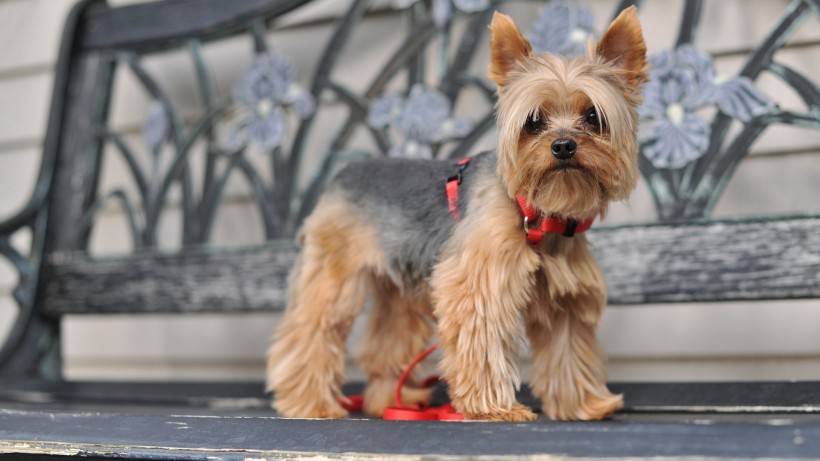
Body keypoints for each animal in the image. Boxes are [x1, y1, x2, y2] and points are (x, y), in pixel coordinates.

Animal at [268, 7, 648, 422]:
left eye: (593, 116)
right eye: (533, 121)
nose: (563, 145)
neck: (538, 213)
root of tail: (341, 174)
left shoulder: (565, 297)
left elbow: (568, 349)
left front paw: (582, 404)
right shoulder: (479, 282)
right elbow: (483, 343)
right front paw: (494, 408)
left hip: (400, 288)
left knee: (387, 342)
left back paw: (392, 403)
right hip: (333, 272)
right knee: (309, 333)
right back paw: (311, 403)